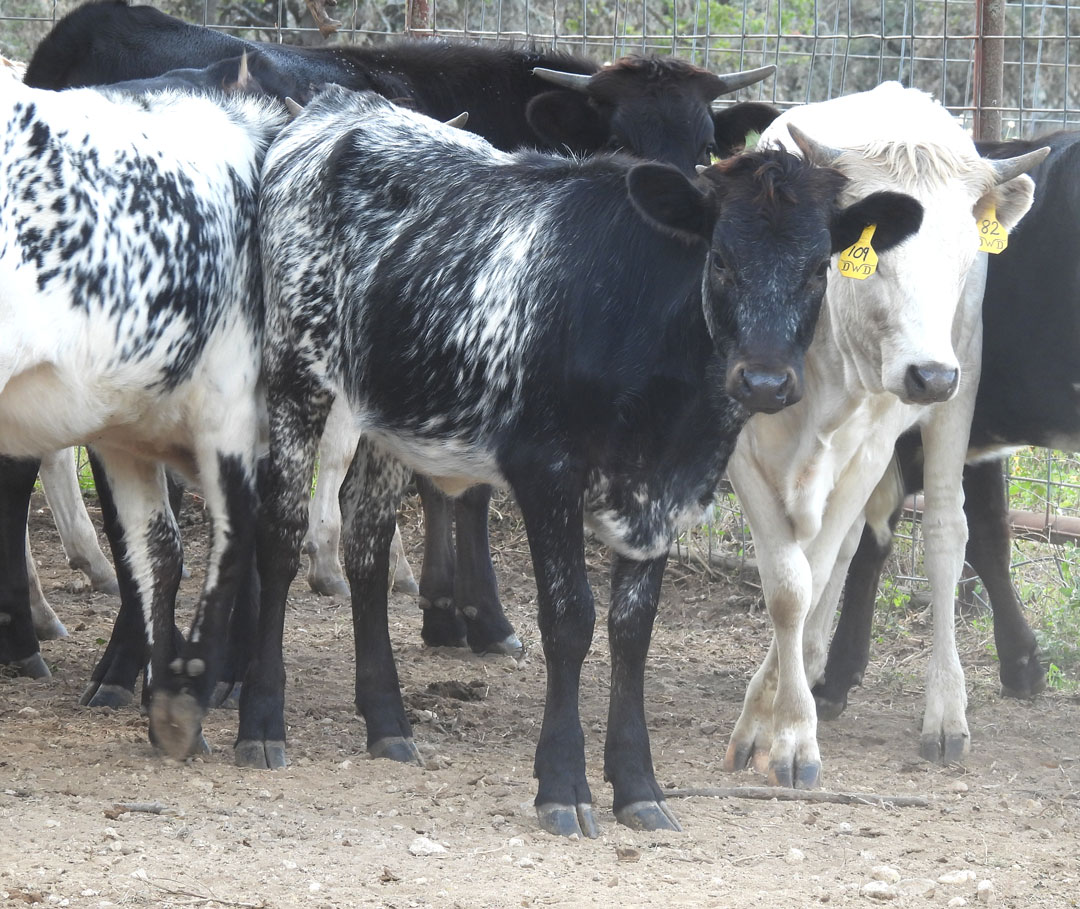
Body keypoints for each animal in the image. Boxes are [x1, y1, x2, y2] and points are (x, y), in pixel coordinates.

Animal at [247, 86, 928, 837]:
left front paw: (637, 784)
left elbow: (632, 630)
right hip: (294, 379)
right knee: (278, 537)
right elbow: (570, 617)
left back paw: (389, 723)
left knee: (367, 550)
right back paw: (262, 722)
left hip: (386, 418)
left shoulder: (670, 490)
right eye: (720, 259)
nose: (765, 382)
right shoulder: (546, 470)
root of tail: (336, 109)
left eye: (817, 268)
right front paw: (563, 784)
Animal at [717, 79, 1045, 785]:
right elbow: (789, 583)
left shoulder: (868, 446)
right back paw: (817, 665)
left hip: (958, 394)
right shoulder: (738, 444)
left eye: (963, 258)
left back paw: (944, 711)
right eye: (876, 254)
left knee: (947, 532)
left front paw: (784, 731)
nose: (929, 374)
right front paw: (776, 714)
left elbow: (807, 576)